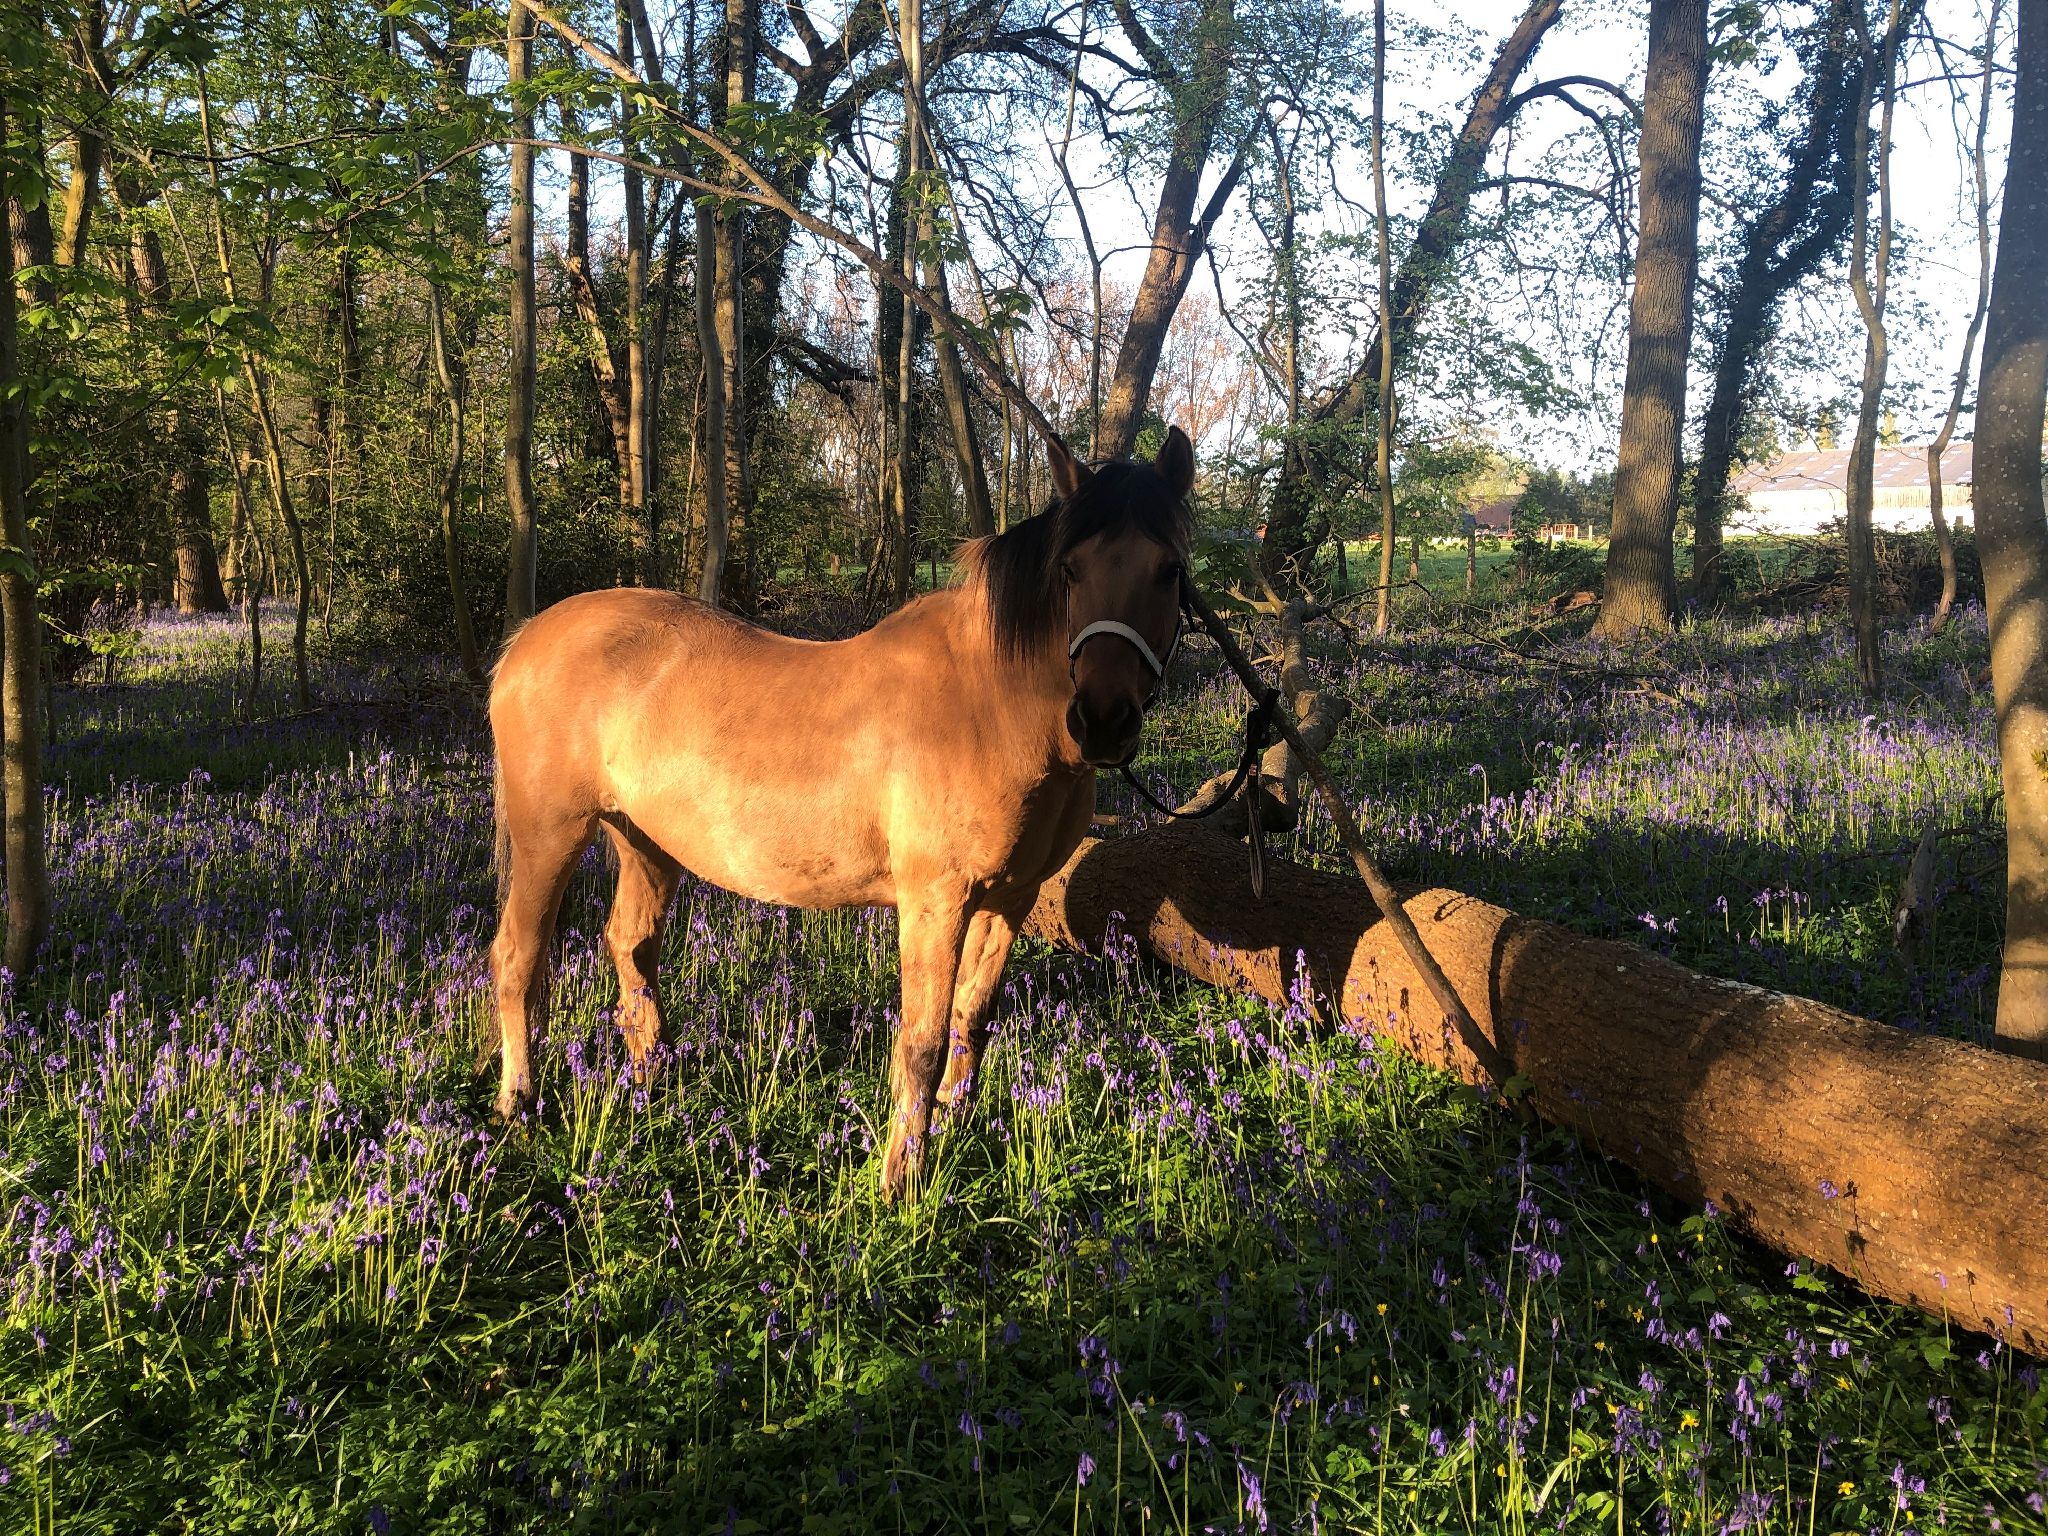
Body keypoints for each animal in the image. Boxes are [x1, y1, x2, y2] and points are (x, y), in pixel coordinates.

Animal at [485, 428, 1194, 1198]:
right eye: (1070, 569)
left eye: (1170, 570)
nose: (1104, 720)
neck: (992, 704)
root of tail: (526, 639)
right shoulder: (935, 902)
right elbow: (922, 1041)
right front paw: (900, 1181)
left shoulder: (1011, 899)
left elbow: (972, 1020)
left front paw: (955, 1130)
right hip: (550, 837)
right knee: (518, 955)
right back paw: (518, 1101)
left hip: (645, 842)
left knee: (630, 945)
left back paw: (655, 1079)